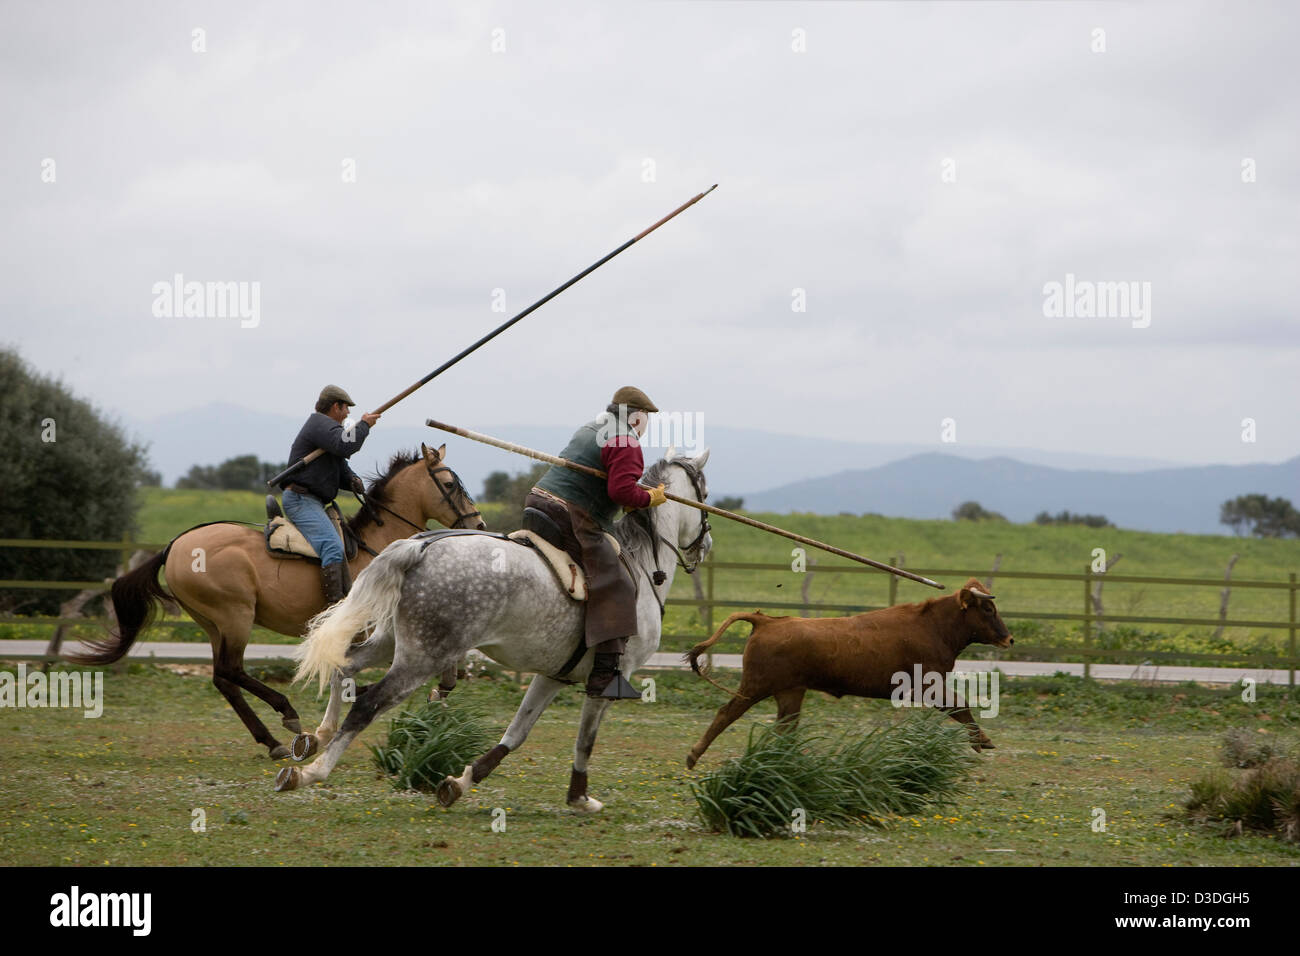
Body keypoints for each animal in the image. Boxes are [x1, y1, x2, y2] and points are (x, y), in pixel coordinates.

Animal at [68, 444, 483, 759]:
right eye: (450, 483)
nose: (478, 525)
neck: (379, 547)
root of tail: (175, 544)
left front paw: (438, 693)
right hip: (235, 616)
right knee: (232, 670)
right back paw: (287, 715)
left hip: (212, 623)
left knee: (223, 678)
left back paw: (271, 742)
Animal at [275, 447, 717, 806]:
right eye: (705, 495)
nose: (706, 545)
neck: (643, 565)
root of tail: (420, 548)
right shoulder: (609, 679)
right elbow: (584, 742)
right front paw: (579, 797)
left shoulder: (553, 675)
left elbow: (517, 733)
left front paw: (462, 782)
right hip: (422, 657)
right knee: (368, 703)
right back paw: (312, 771)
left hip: (390, 641)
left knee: (346, 666)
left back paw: (317, 736)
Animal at [686, 574, 1008, 770]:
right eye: (987, 610)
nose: (1009, 639)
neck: (932, 627)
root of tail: (767, 621)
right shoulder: (928, 685)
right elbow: (959, 705)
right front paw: (981, 740)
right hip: (755, 686)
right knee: (726, 714)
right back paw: (693, 755)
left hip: (789, 692)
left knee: (785, 728)